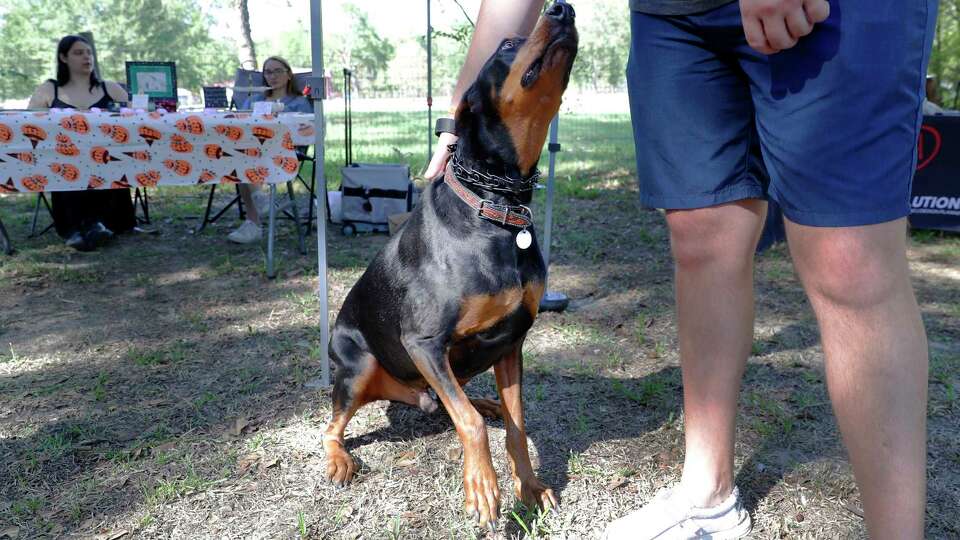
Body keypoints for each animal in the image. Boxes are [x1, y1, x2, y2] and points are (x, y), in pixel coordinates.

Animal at [322, 3, 576, 528]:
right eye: (507, 44)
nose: (565, 10)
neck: (497, 207)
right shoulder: (424, 341)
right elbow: (471, 425)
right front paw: (482, 488)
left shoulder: (511, 340)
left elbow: (515, 425)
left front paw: (530, 487)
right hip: (358, 367)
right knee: (332, 426)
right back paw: (338, 459)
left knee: (451, 398)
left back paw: (479, 399)